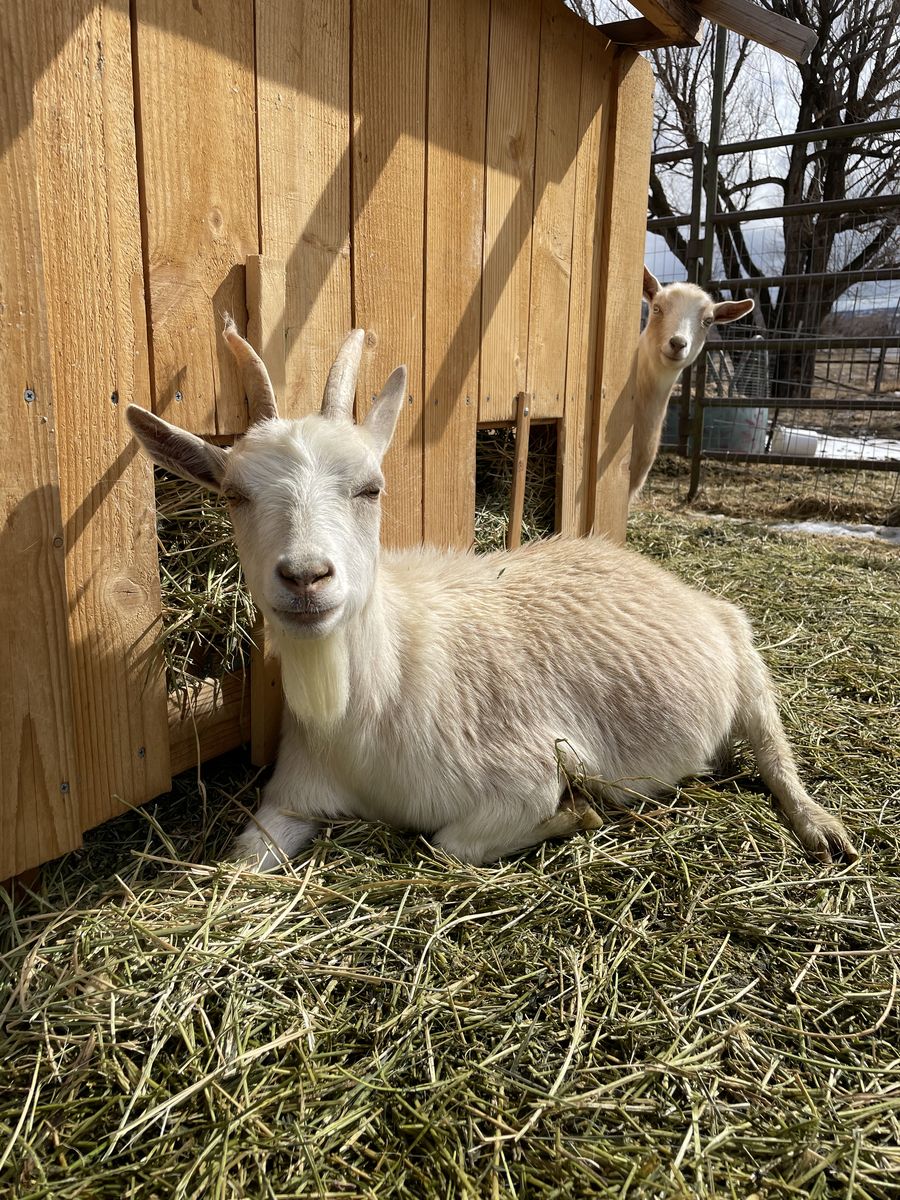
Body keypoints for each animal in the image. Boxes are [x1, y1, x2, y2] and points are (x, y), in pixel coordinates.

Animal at [126, 322, 857, 870]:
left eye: (371, 487)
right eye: (235, 495)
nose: (306, 577)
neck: (375, 698)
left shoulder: (520, 775)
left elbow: (450, 845)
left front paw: (577, 811)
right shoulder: (292, 794)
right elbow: (244, 861)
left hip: (743, 655)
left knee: (774, 747)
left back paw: (822, 827)